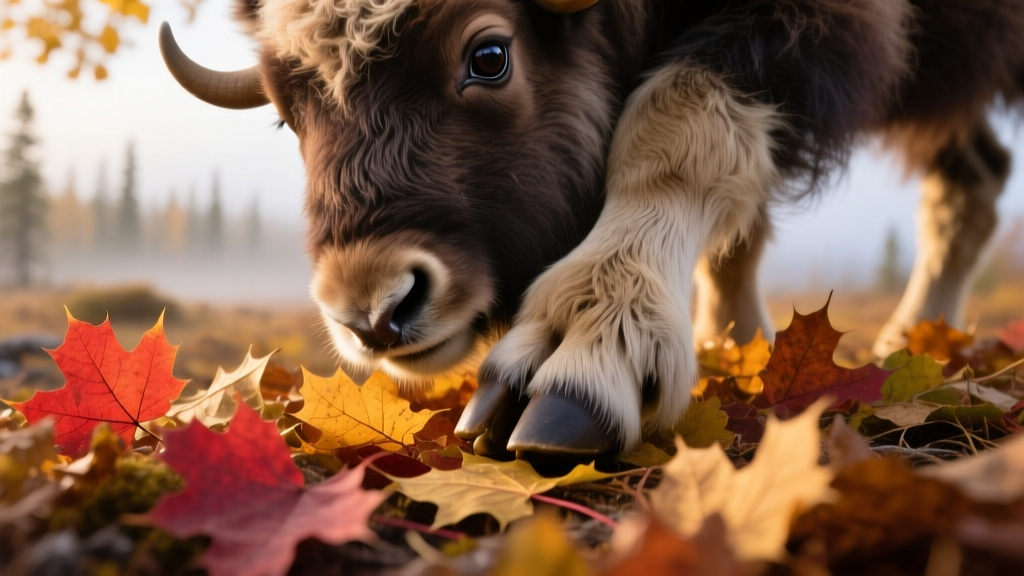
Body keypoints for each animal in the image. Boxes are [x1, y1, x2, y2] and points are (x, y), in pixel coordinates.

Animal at [160, 0, 1024, 458]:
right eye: (286, 113)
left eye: (490, 55)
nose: (372, 312)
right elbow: (736, 232)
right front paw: (736, 349)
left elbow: (677, 127)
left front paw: (580, 353)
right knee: (972, 182)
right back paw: (911, 343)